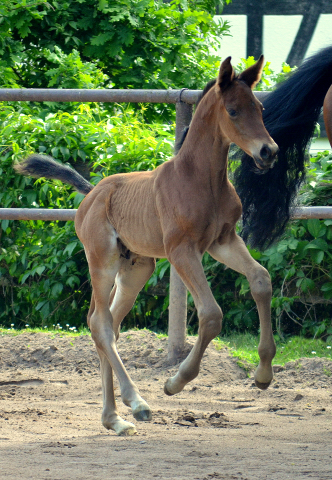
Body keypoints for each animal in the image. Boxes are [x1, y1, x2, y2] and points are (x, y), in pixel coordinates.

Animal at [16, 56, 280, 436]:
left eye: (260, 108)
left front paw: (263, 375)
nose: (268, 152)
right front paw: (176, 381)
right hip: (103, 262)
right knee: (100, 324)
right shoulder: (182, 250)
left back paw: (114, 420)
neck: (200, 179)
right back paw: (136, 403)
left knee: (108, 324)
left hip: (136, 270)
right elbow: (211, 314)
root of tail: (92, 193)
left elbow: (260, 280)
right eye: (232, 111)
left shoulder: (223, 241)